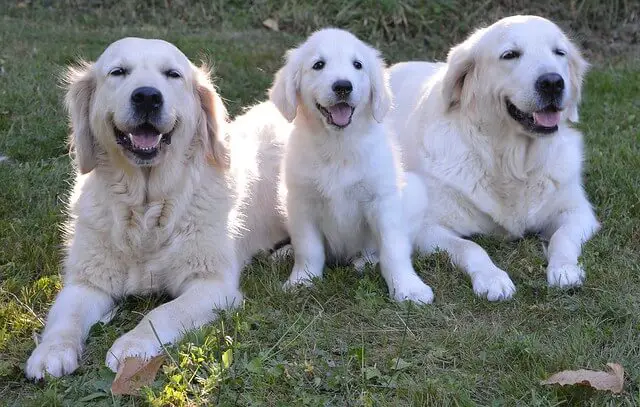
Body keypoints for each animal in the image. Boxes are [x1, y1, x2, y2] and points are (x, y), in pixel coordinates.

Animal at [26, 36, 288, 380]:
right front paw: (50, 352)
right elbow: (65, 317)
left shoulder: (212, 284)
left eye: (172, 74)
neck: (146, 207)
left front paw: (131, 345)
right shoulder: (87, 281)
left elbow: (162, 312)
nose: (148, 97)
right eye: (118, 72)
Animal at [270, 27, 436, 302]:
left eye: (357, 65)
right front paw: (302, 280)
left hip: (415, 192)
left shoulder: (382, 200)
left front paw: (408, 287)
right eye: (318, 65)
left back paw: (364, 262)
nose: (342, 86)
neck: (338, 145)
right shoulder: (301, 201)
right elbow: (308, 247)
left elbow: (393, 248)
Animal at [388, 15, 604, 302]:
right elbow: (470, 247)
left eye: (559, 52)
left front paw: (565, 269)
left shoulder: (578, 212)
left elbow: (562, 237)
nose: (552, 82)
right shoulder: (427, 227)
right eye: (510, 55)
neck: (511, 162)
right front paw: (493, 279)